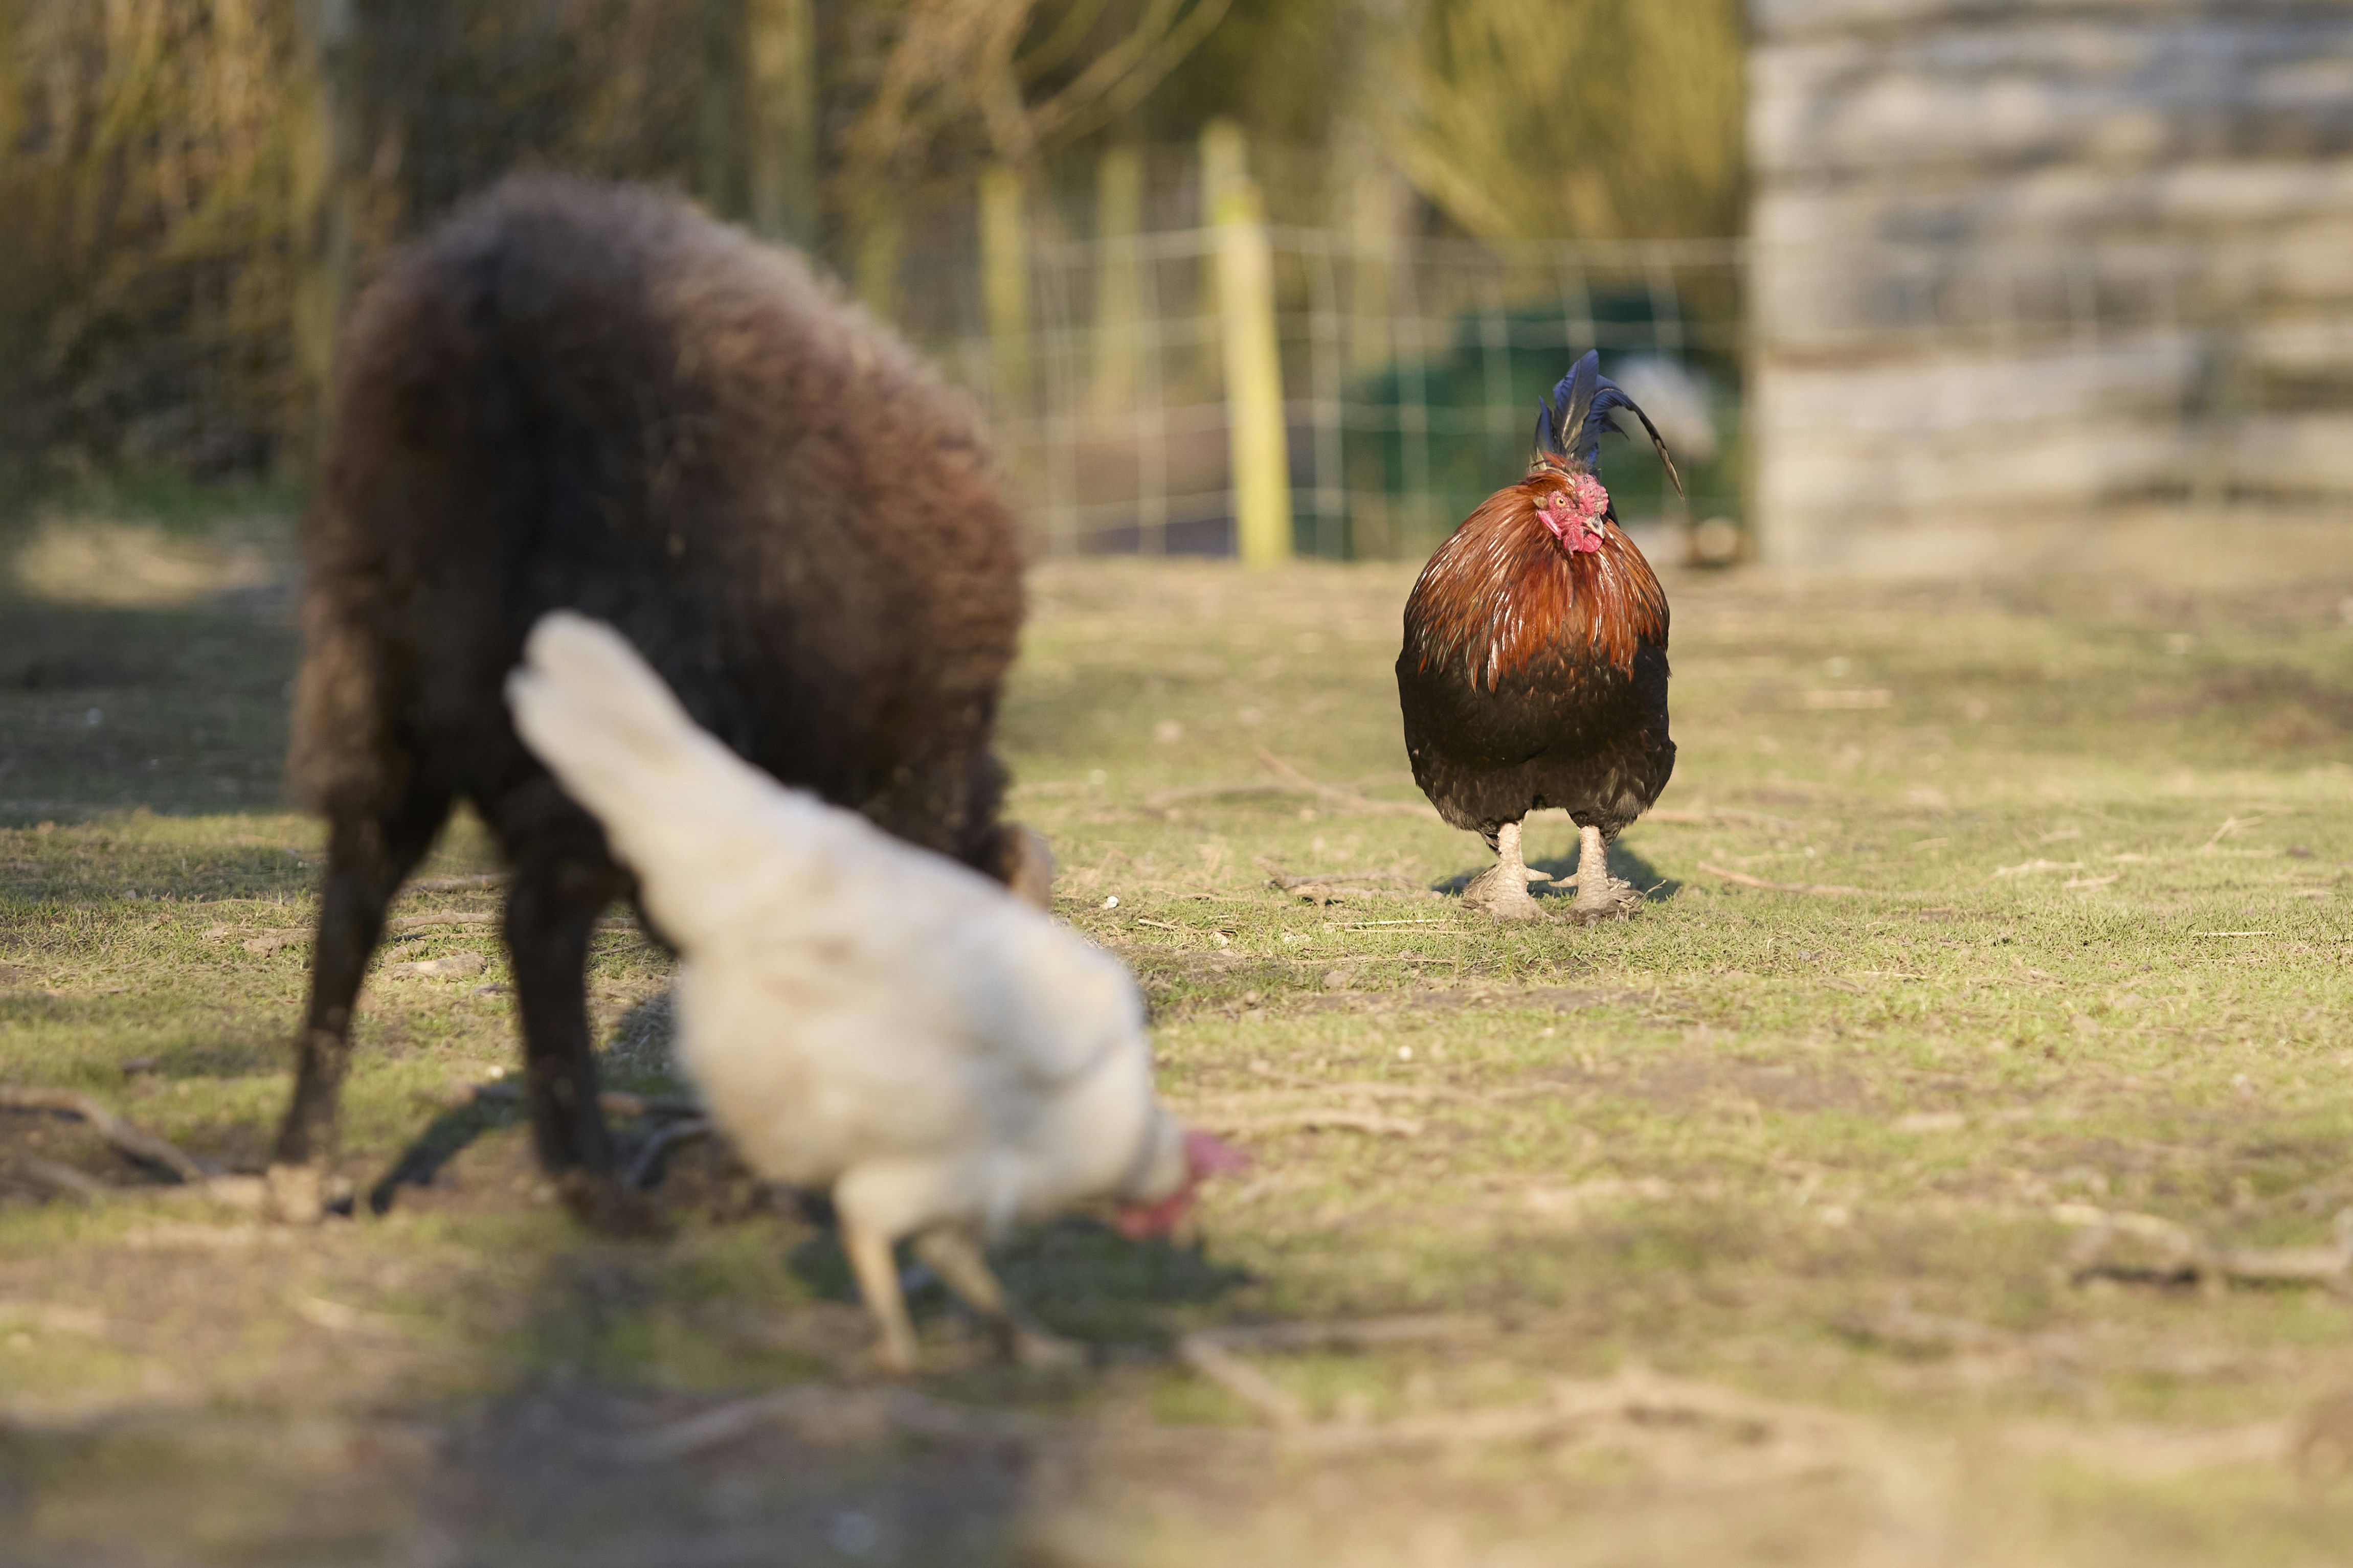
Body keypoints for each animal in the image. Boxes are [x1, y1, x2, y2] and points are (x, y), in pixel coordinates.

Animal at [268, 174, 1031, 1229]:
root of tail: (479, 319)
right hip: (599, 725)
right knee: (536, 928)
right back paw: (594, 1186)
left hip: (372, 692)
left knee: (351, 902)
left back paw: (301, 1170)